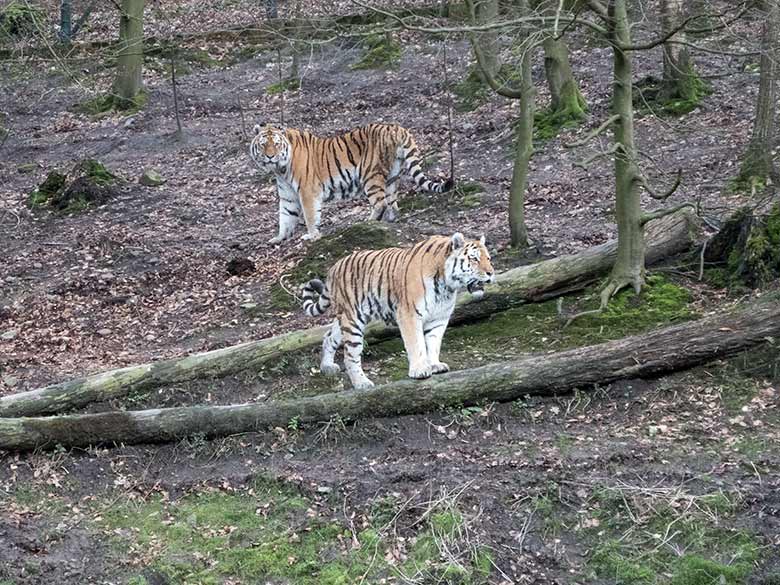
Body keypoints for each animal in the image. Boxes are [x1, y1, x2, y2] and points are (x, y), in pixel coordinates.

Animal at [250, 122, 454, 243]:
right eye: (263, 144)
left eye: (276, 144)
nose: (270, 156)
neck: (281, 169)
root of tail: (395, 127)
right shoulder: (288, 196)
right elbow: (285, 216)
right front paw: (278, 238)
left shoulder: (307, 192)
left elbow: (310, 215)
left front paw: (312, 235)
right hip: (392, 175)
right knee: (392, 204)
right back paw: (389, 221)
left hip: (369, 175)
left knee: (380, 203)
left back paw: (368, 222)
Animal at [300, 232, 494, 388]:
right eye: (474, 259)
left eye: (489, 259)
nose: (491, 273)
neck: (446, 286)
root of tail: (334, 268)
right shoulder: (409, 314)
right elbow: (416, 344)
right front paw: (420, 370)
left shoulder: (439, 318)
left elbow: (433, 343)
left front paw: (435, 364)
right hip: (353, 319)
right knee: (350, 355)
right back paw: (361, 383)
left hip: (346, 319)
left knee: (328, 336)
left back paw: (327, 367)